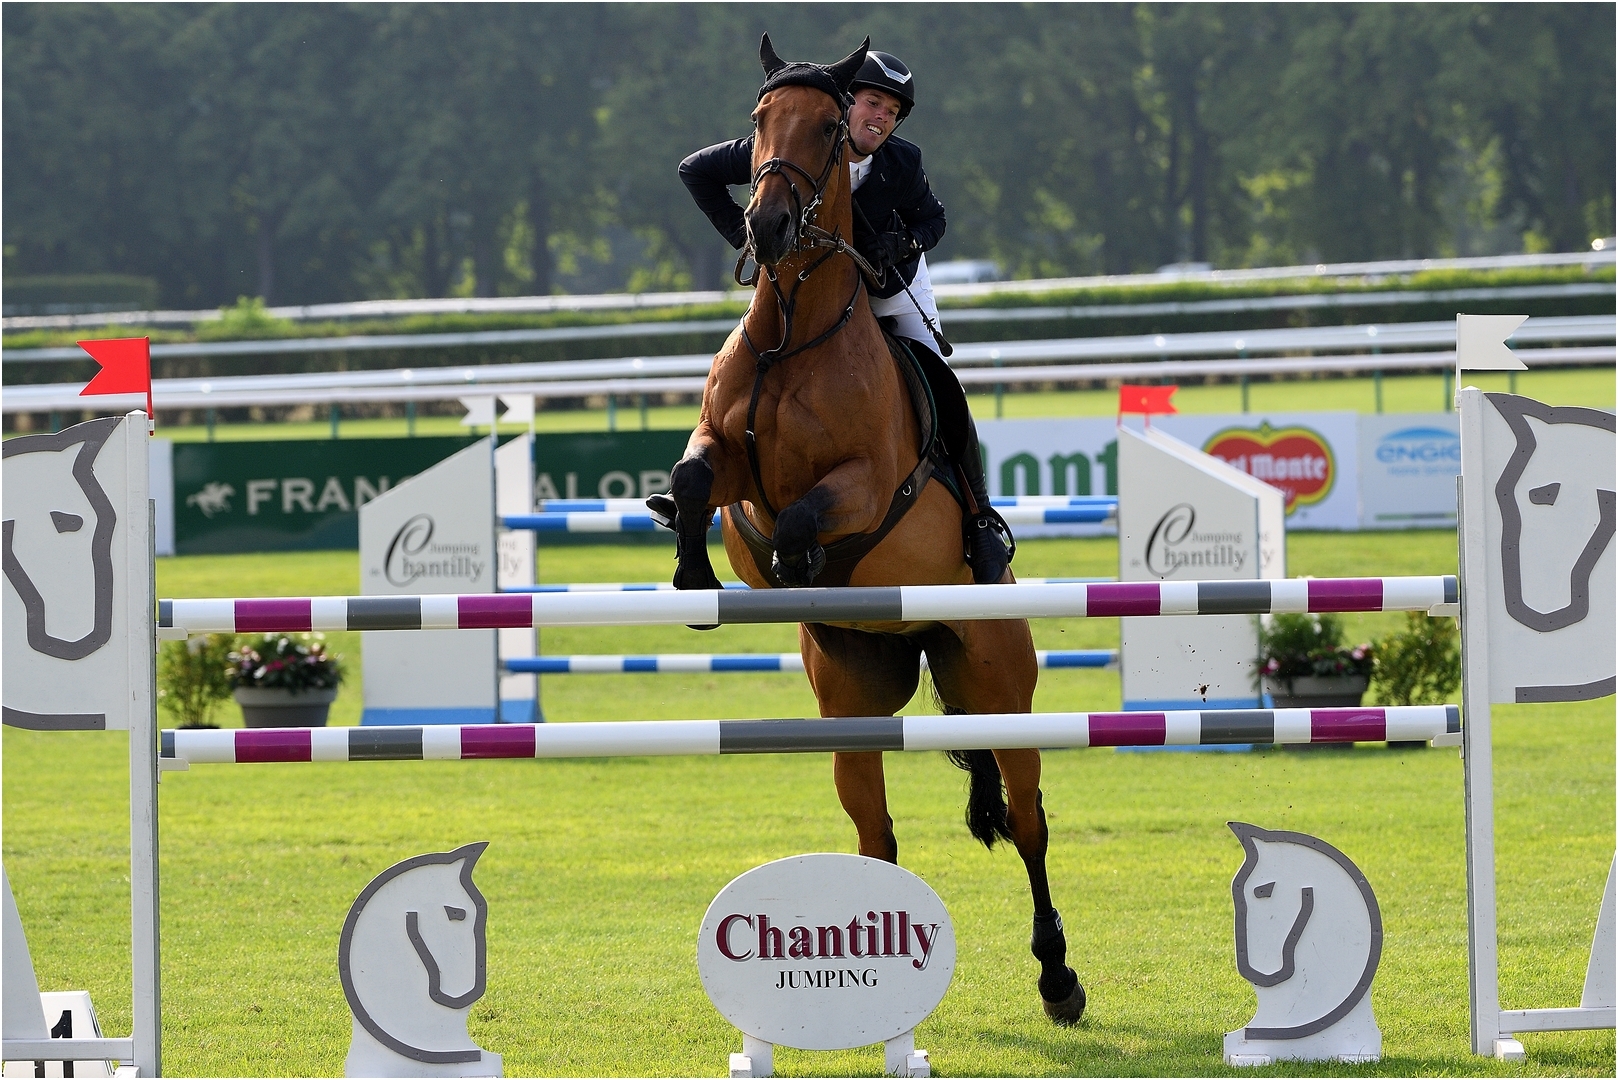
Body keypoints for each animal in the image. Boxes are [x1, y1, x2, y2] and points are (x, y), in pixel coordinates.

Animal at [659, 36, 1084, 1025]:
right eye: (758, 123)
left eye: (829, 130)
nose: (769, 229)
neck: (793, 328)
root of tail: (926, 627)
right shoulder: (730, 469)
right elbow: (694, 477)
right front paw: (695, 577)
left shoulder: (860, 485)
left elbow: (807, 514)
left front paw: (802, 561)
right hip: (853, 706)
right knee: (876, 834)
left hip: (999, 684)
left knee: (1031, 820)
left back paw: (1059, 978)